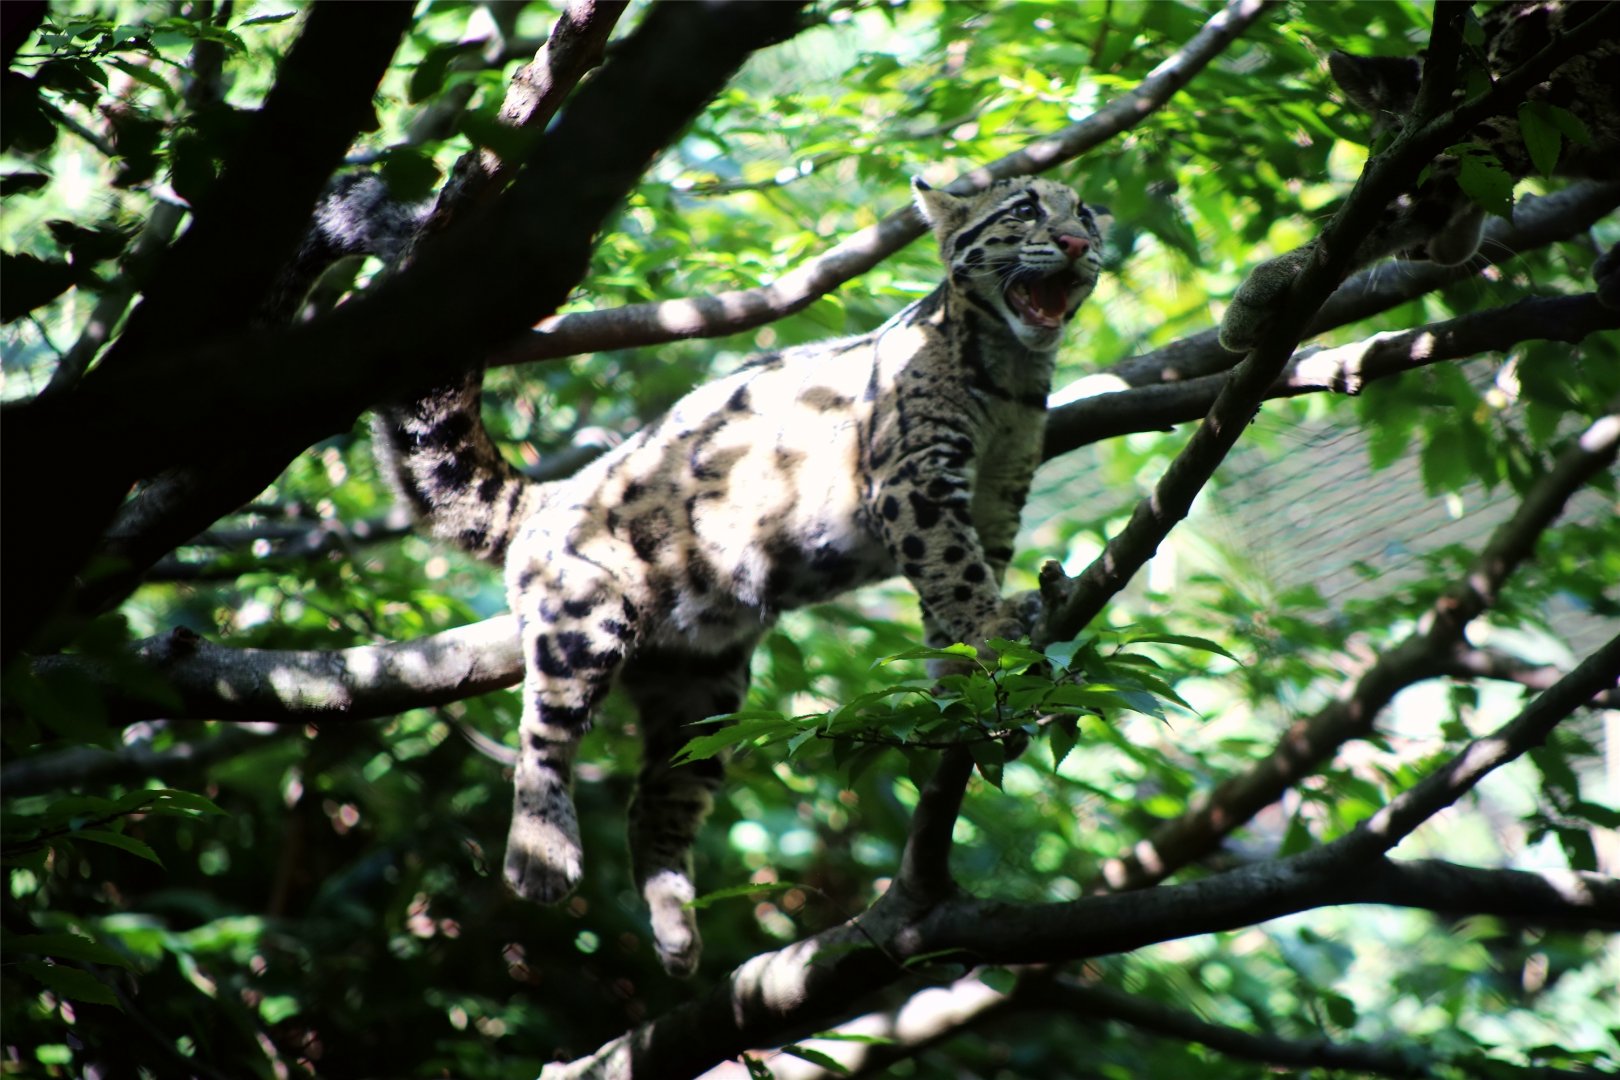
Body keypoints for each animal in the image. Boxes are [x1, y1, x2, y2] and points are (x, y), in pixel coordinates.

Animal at [371, 175, 1110, 976]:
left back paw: (676, 930)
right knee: (544, 733)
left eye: (1086, 213)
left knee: (657, 798)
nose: (1076, 241)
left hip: (707, 693)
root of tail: (552, 493)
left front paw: (964, 687)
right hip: (585, 617)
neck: (1011, 375)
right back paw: (542, 856)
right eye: (1026, 209)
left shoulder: (998, 501)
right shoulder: (915, 483)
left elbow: (952, 599)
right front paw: (996, 636)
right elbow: (956, 575)